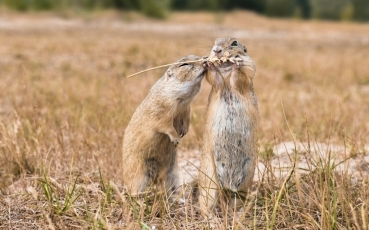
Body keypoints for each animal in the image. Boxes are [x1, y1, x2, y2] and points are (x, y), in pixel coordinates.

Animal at [122, 54, 206, 195]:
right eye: (184, 65)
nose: (206, 59)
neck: (182, 100)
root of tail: (155, 178)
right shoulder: (161, 113)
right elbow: (165, 126)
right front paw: (176, 138)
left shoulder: (186, 109)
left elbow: (187, 119)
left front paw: (184, 131)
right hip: (138, 176)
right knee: (134, 190)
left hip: (172, 175)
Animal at [197, 37, 258, 212]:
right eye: (215, 41)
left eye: (234, 42)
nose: (217, 50)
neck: (225, 69)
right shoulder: (217, 83)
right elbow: (214, 78)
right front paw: (209, 62)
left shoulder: (249, 69)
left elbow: (239, 77)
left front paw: (237, 62)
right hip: (209, 184)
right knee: (205, 205)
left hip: (243, 185)